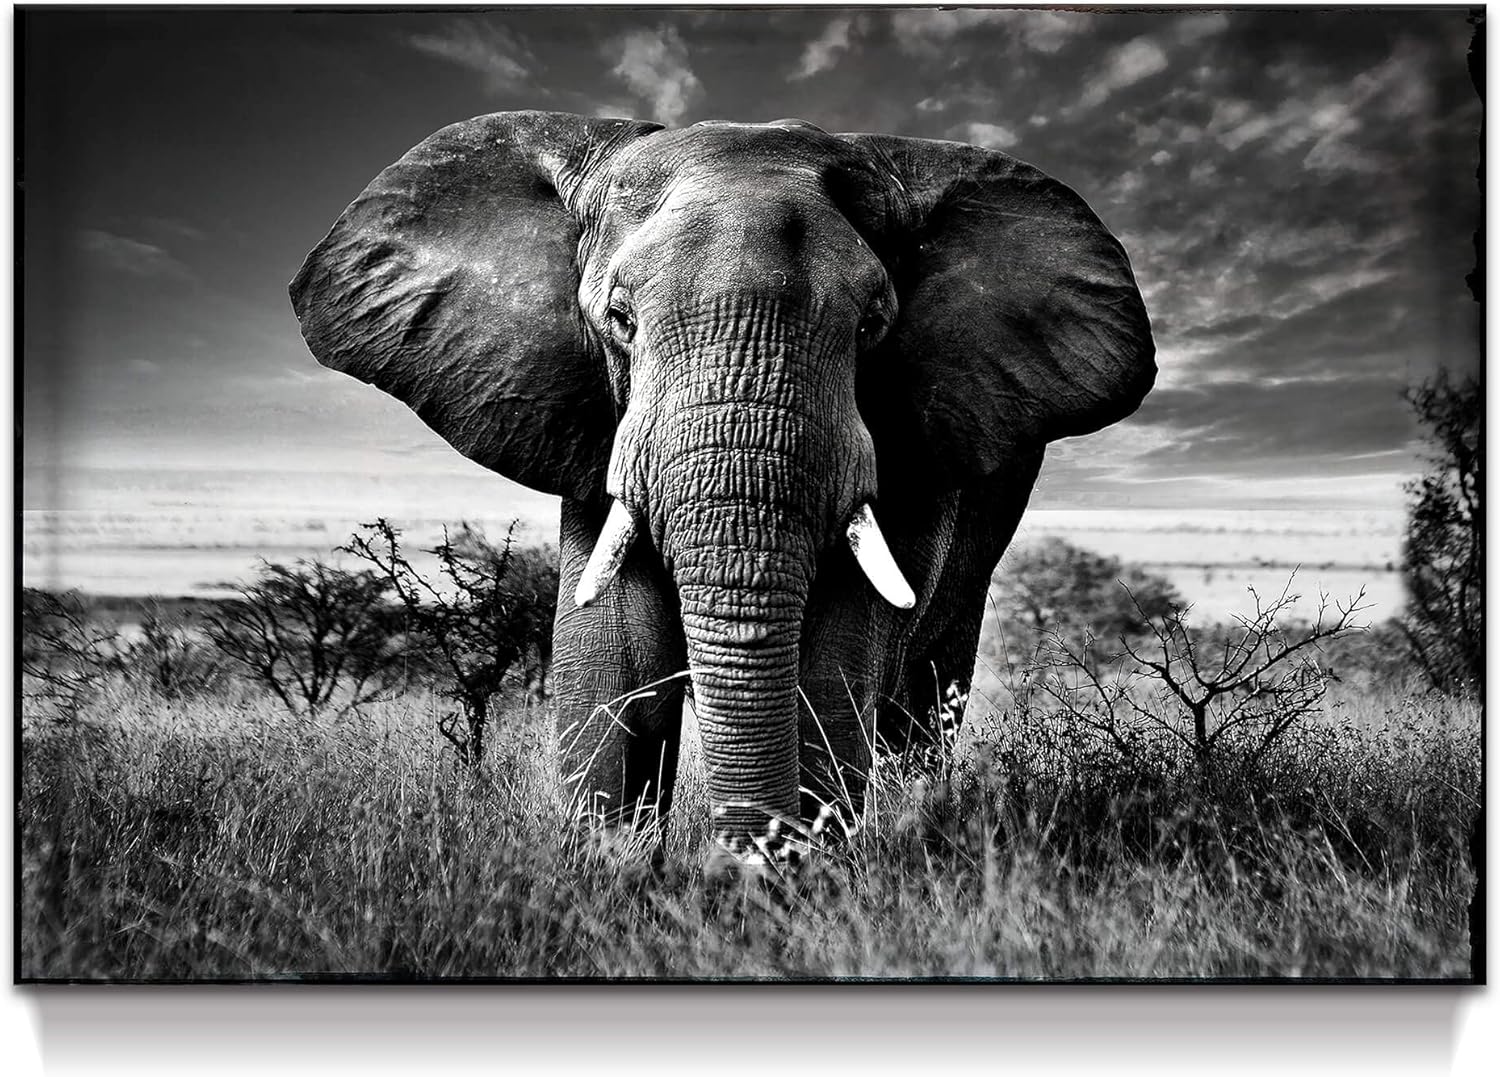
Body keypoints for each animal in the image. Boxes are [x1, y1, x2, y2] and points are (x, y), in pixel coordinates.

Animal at [290, 111, 1155, 865]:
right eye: (620, 320)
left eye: (872, 325)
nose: (731, 866)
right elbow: (614, 651)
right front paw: (613, 879)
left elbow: (836, 658)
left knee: (927, 686)